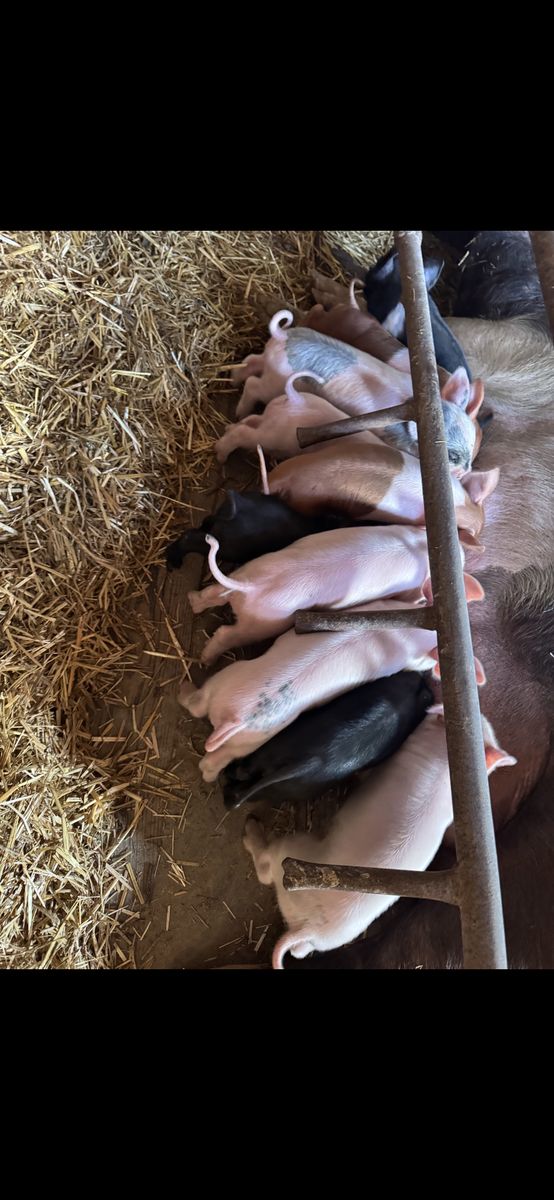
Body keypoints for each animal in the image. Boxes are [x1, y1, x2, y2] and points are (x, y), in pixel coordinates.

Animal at [178, 581, 486, 782]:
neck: (403, 636)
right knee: (212, 759)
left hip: (228, 684)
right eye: (430, 662)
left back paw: (185, 689)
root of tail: (236, 719)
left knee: (197, 705)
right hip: (253, 736)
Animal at [188, 524, 439, 665]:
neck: (420, 546)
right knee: (226, 633)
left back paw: (192, 601)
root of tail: (252, 586)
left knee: (213, 593)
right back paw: (206, 660)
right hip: (263, 624)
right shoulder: (410, 589)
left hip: (247, 570)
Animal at [221, 670, 434, 810]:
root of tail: (310, 761)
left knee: (244, 776)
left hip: (276, 756)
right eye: (425, 694)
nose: (422, 677)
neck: (407, 700)